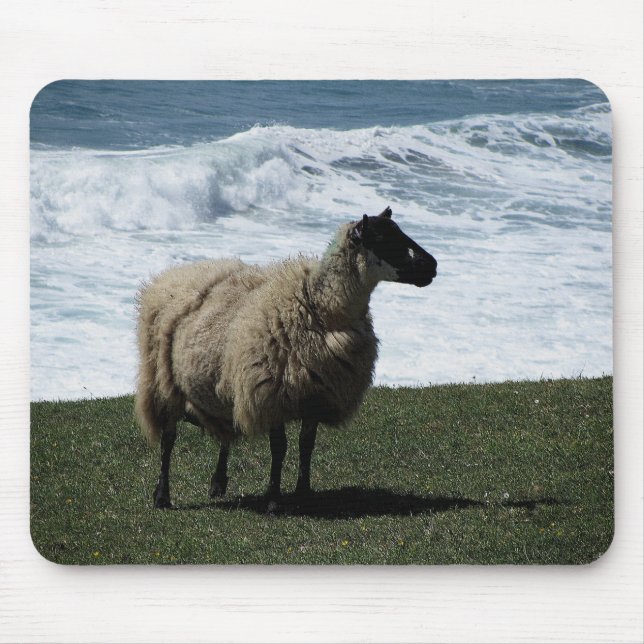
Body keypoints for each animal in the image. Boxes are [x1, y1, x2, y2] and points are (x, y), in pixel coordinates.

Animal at [135, 206, 437, 511]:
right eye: (382, 237)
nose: (432, 265)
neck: (322, 308)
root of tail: (177, 272)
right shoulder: (271, 392)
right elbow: (279, 448)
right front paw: (273, 500)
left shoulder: (316, 394)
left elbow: (307, 444)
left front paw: (303, 493)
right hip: (164, 384)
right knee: (169, 440)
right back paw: (162, 496)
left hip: (223, 385)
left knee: (225, 434)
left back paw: (218, 483)